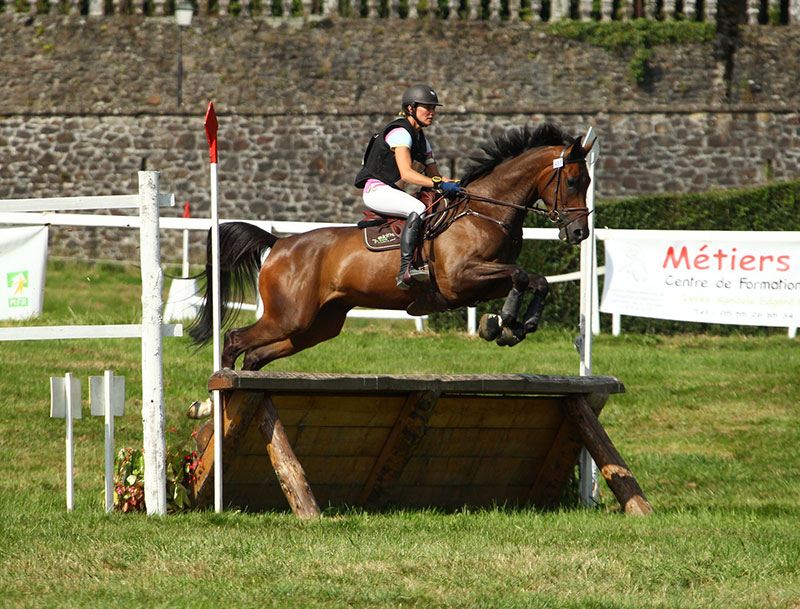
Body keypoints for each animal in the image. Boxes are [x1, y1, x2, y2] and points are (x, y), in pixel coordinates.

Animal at [189, 122, 592, 370]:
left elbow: (535, 279)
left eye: (588, 181)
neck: (486, 210)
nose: (579, 234)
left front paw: (513, 326)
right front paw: (504, 322)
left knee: (256, 355)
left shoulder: (479, 284)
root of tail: (281, 244)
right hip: (288, 316)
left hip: (315, 325)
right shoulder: (461, 277)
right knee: (235, 340)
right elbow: (522, 275)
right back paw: (214, 399)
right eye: (573, 181)